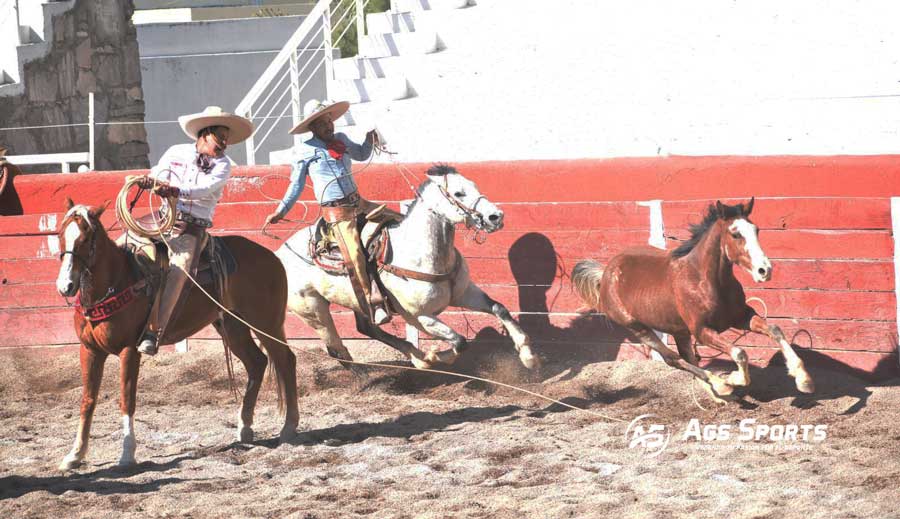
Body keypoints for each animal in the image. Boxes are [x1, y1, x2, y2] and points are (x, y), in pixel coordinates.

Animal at [56, 198, 298, 472]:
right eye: (61, 234)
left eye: (87, 238)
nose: (66, 286)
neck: (116, 284)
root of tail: (271, 256)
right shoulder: (89, 350)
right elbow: (87, 400)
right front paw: (75, 454)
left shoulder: (129, 350)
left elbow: (127, 399)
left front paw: (127, 454)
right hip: (232, 326)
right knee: (257, 362)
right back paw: (245, 428)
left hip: (266, 322)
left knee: (286, 360)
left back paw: (289, 427)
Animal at [278, 165, 536, 372]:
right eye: (458, 193)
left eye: (474, 185)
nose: (495, 216)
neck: (422, 253)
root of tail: (279, 253)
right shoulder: (419, 315)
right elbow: (460, 341)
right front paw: (434, 357)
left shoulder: (464, 293)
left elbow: (499, 309)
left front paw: (528, 355)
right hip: (313, 310)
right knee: (335, 347)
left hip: (356, 300)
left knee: (368, 328)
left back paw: (414, 356)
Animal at [576, 199, 816, 402]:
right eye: (735, 234)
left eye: (756, 230)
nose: (764, 270)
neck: (706, 281)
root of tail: (605, 273)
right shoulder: (702, 331)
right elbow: (740, 352)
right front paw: (734, 379)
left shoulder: (741, 317)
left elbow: (775, 329)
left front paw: (803, 378)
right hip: (639, 328)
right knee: (674, 359)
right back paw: (721, 386)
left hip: (679, 331)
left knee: (688, 358)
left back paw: (718, 396)